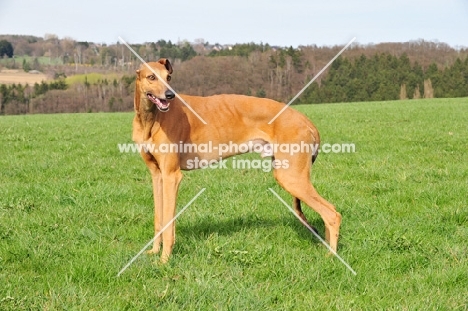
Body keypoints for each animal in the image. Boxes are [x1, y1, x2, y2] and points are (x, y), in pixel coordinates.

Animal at [132, 58, 340, 264]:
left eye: (168, 77)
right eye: (151, 77)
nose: (170, 95)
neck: (151, 119)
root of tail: (307, 122)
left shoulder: (171, 176)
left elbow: (169, 222)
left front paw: (165, 260)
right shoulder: (157, 175)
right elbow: (159, 218)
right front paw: (154, 251)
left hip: (291, 177)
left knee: (332, 213)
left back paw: (331, 255)